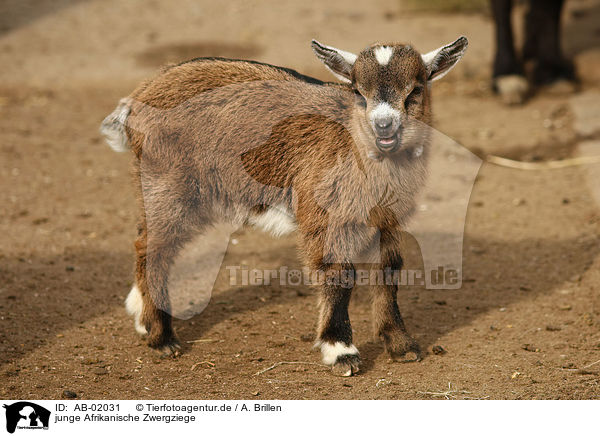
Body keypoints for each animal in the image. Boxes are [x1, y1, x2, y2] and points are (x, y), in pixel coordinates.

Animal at [102, 35, 468, 376]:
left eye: (415, 90)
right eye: (358, 92)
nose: (384, 127)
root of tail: (140, 96)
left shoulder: (387, 221)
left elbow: (388, 272)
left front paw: (401, 345)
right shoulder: (323, 216)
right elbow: (339, 274)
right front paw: (341, 351)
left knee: (144, 239)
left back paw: (141, 316)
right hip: (169, 186)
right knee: (155, 248)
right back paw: (161, 338)